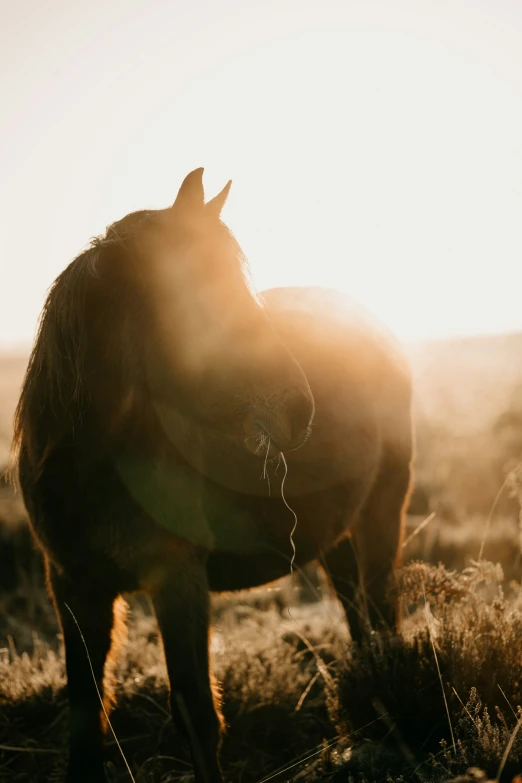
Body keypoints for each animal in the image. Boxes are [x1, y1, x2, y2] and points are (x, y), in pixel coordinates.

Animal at [11, 172, 410, 783]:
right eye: (203, 294)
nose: (299, 409)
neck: (93, 467)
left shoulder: (177, 578)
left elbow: (196, 712)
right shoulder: (74, 586)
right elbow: (84, 708)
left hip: (383, 510)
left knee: (384, 613)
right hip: (338, 533)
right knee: (356, 610)